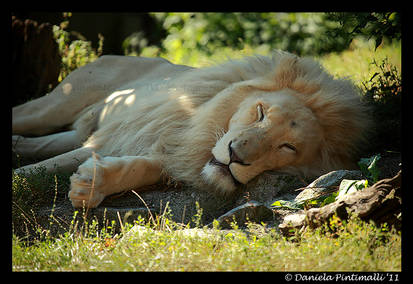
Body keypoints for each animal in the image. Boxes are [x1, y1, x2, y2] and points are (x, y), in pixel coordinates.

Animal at [12, 51, 366, 207]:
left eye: (288, 147)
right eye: (261, 112)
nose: (235, 156)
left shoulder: (172, 153)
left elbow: (138, 168)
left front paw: (90, 185)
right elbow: (39, 169)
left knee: (43, 142)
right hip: (53, 106)